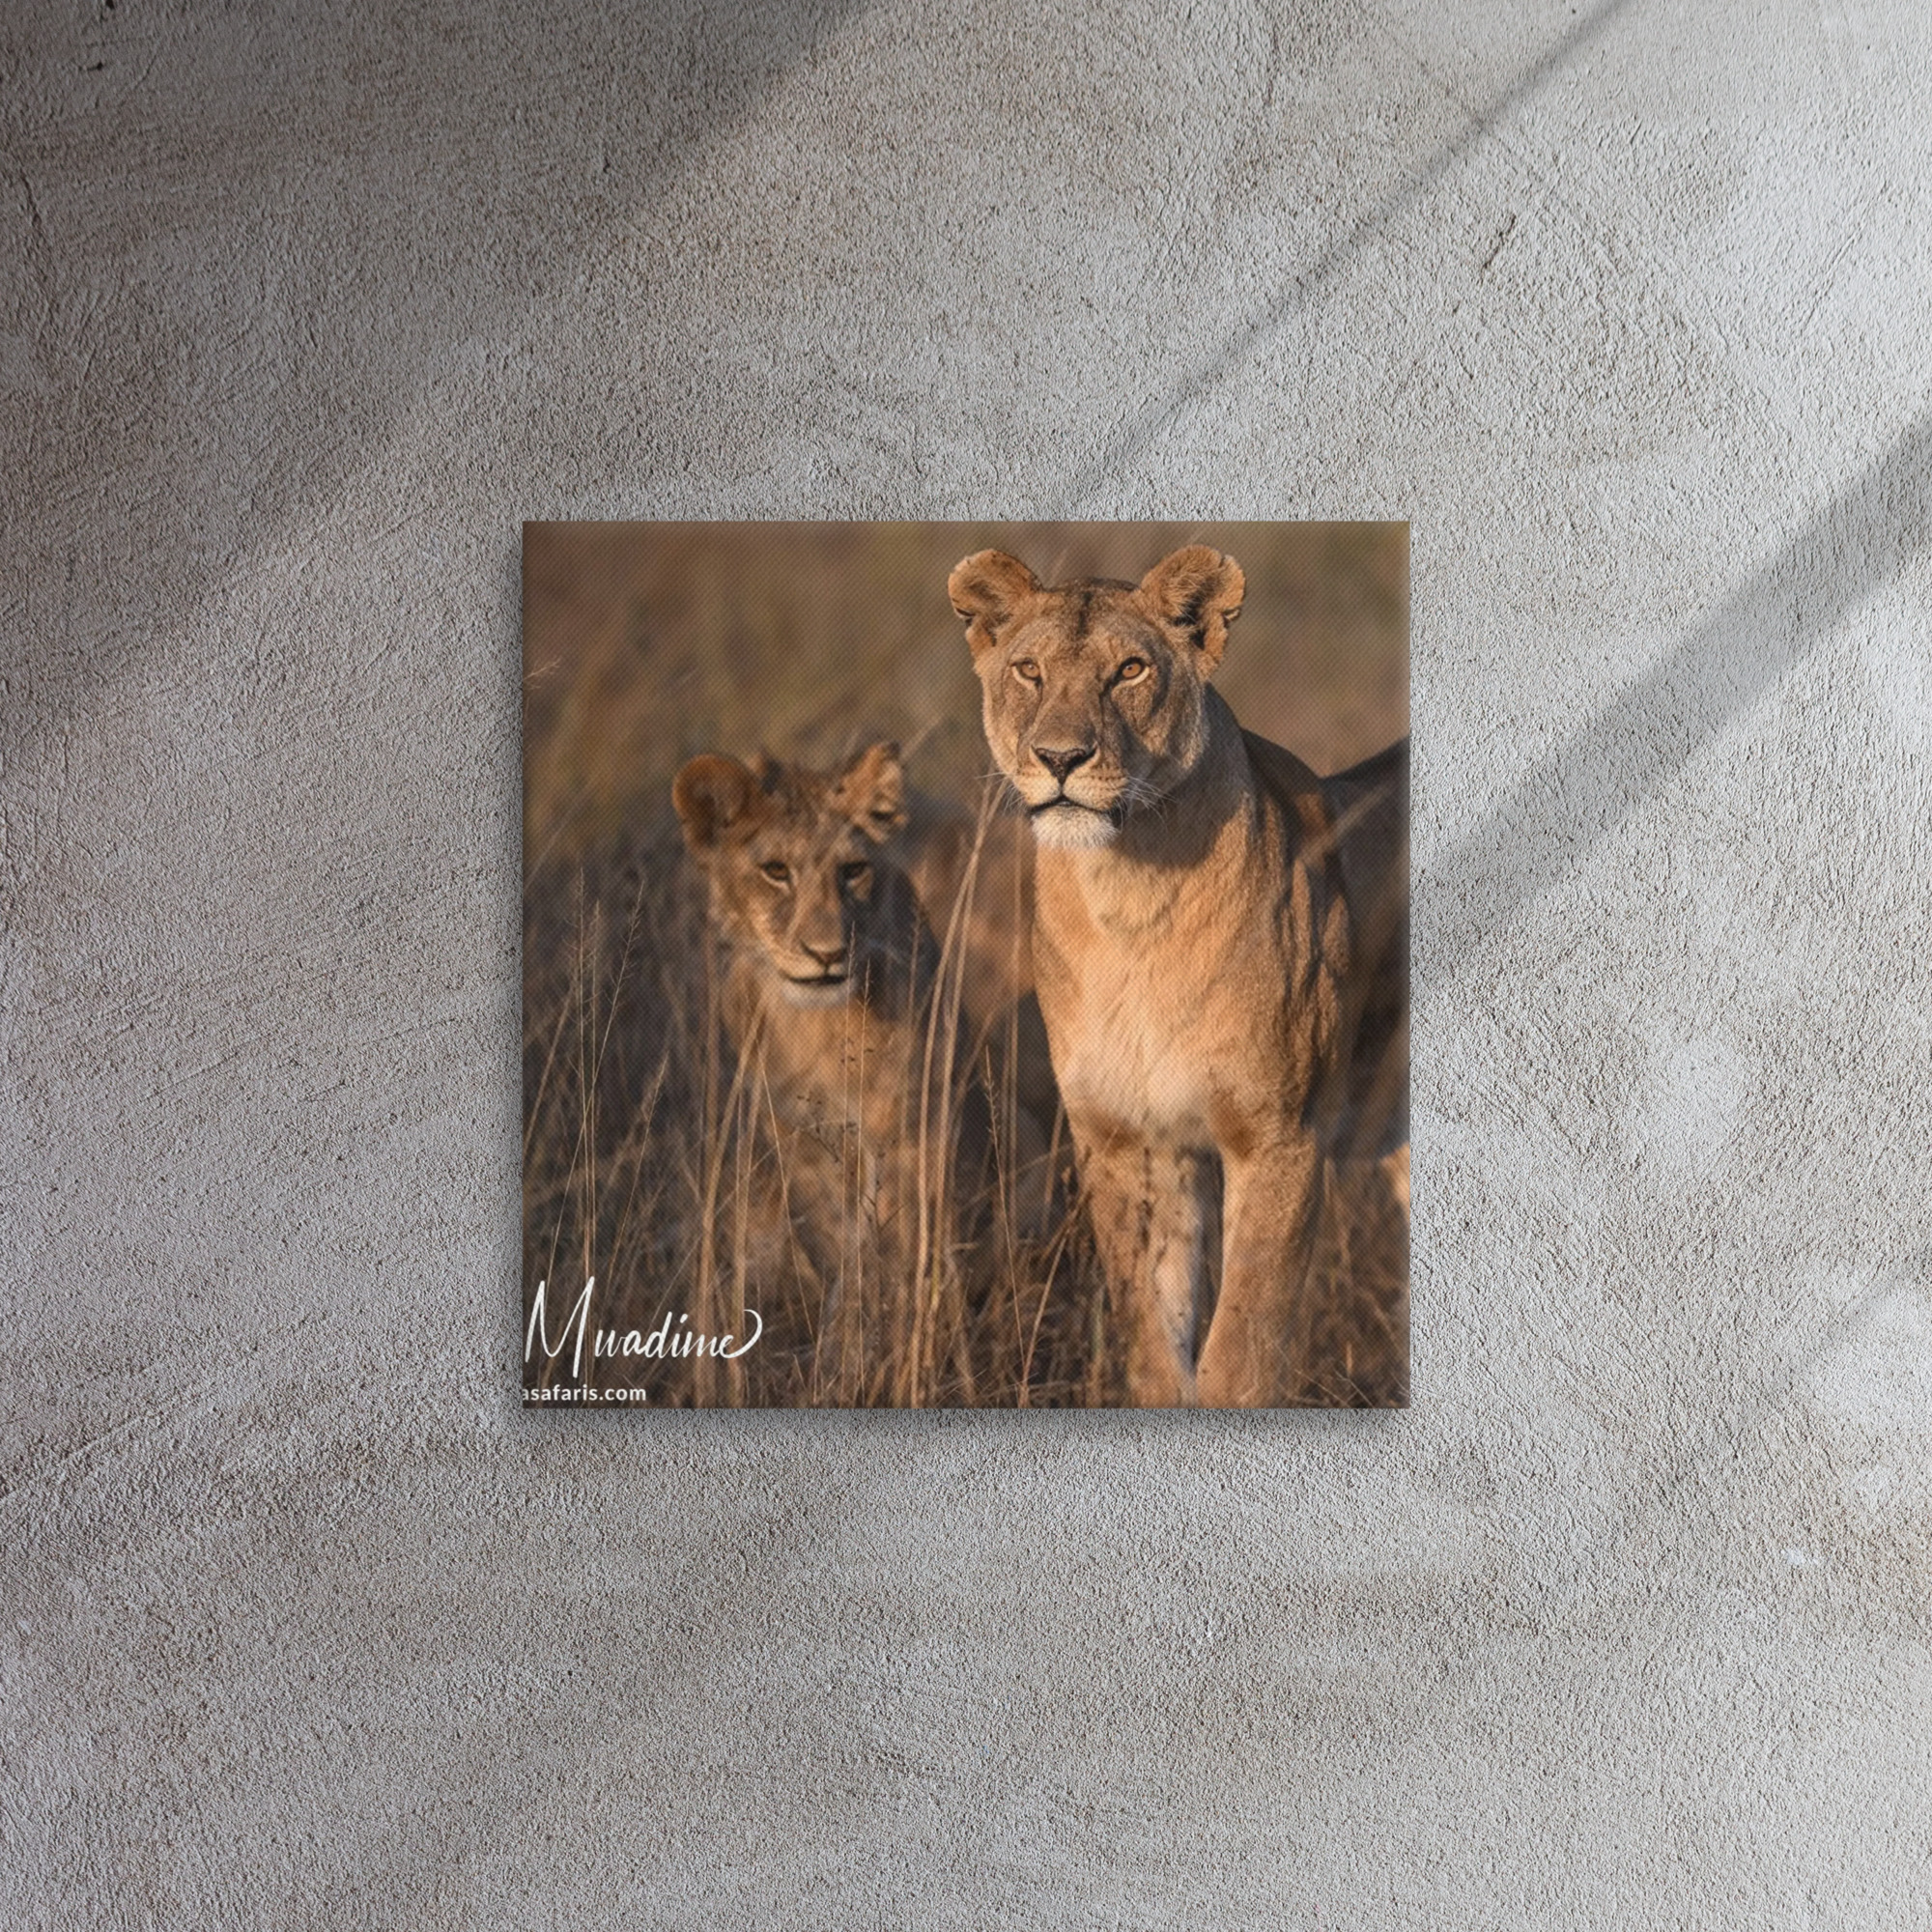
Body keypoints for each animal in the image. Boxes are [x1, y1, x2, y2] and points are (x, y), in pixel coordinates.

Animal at [949, 544, 1408, 1407]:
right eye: (1028, 670)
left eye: (1130, 670)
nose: (1060, 758)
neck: (1128, 900)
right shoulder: (1129, 1142)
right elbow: (1152, 1344)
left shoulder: (1279, 1137)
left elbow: (1241, 1354)